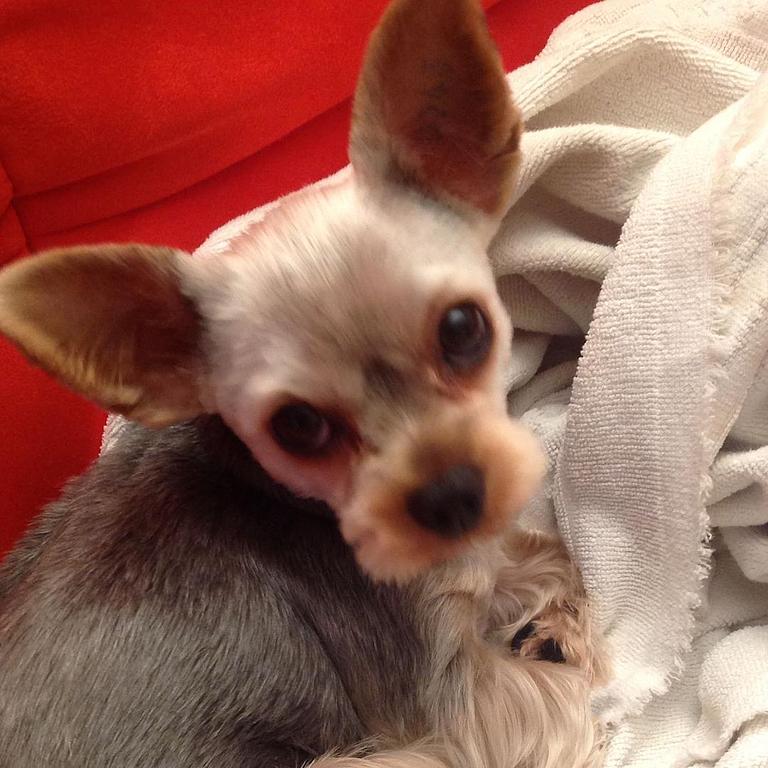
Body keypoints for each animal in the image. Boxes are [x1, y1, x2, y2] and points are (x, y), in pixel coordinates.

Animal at [0, 0, 607, 765]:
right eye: (296, 426)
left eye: (463, 328)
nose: (451, 499)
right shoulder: (449, 700)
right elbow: (548, 703)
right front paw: (565, 647)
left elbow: (544, 557)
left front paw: (556, 619)